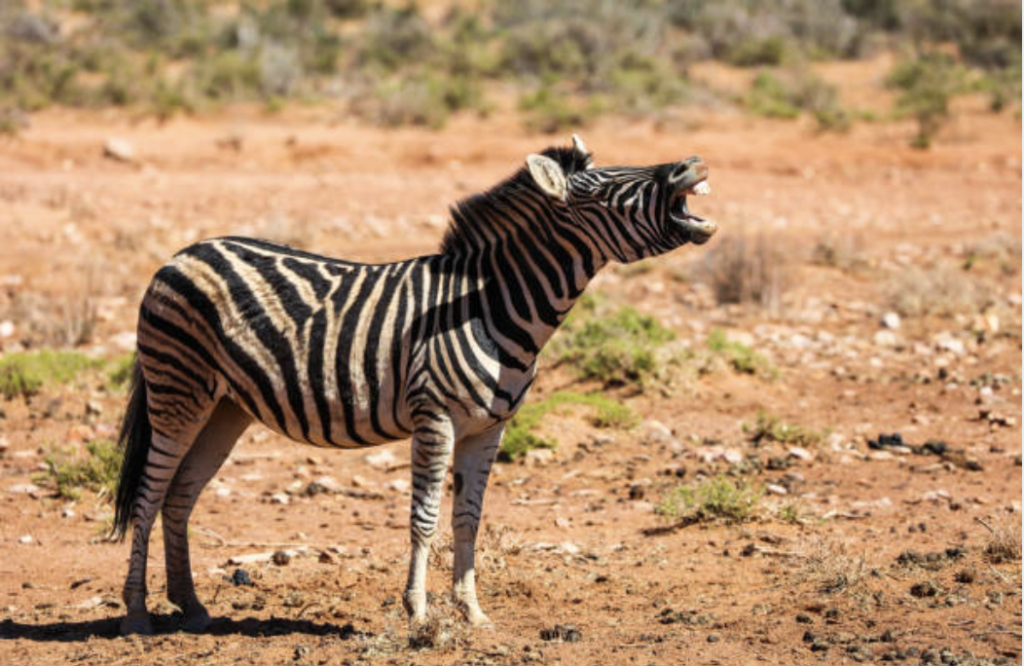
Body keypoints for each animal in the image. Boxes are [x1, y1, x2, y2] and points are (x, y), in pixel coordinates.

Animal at [110, 133, 712, 631]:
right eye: (606, 190)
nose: (693, 163)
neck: (492, 305)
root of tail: (180, 254)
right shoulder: (435, 416)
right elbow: (423, 518)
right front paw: (417, 610)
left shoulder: (488, 428)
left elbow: (468, 520)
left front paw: (471, 612)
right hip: (178, 392)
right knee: (148, 494)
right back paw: (137, 614)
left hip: (225, 408)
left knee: (179, 497)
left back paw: (191, 607)